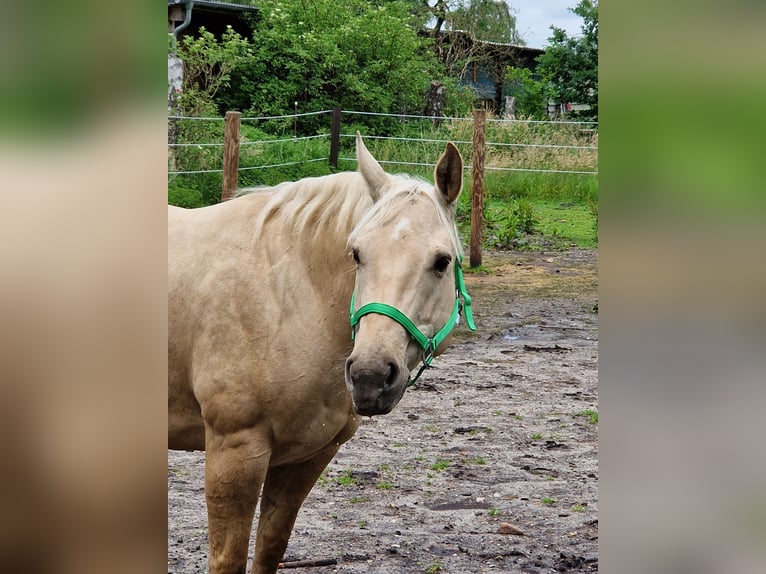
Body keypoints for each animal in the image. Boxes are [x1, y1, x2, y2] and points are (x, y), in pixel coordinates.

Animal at [170, 136, 474, 574]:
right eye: (357, 254)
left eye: (442, 261)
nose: (369, 376)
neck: (286, 296)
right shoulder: (235, 451)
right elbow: (228, 559)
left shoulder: (307, 457)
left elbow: (270, 549)